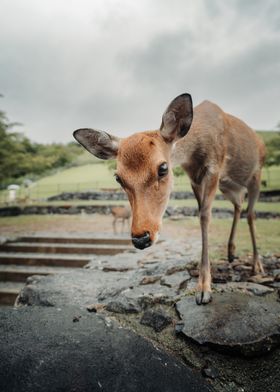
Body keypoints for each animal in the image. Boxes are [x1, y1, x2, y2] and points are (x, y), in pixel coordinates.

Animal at [74, 93, 264, 304]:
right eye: (118, 177)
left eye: (163, 168)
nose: (141, 238)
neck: (196, 152)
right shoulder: (194, 178)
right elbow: (200, 212)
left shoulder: (214, 168)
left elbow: (205, 216)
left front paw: (203, 289)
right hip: (230, 188)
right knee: (239, 205)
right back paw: (231, 253)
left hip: (255, 175)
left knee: (251, 213)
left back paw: (257, 266)